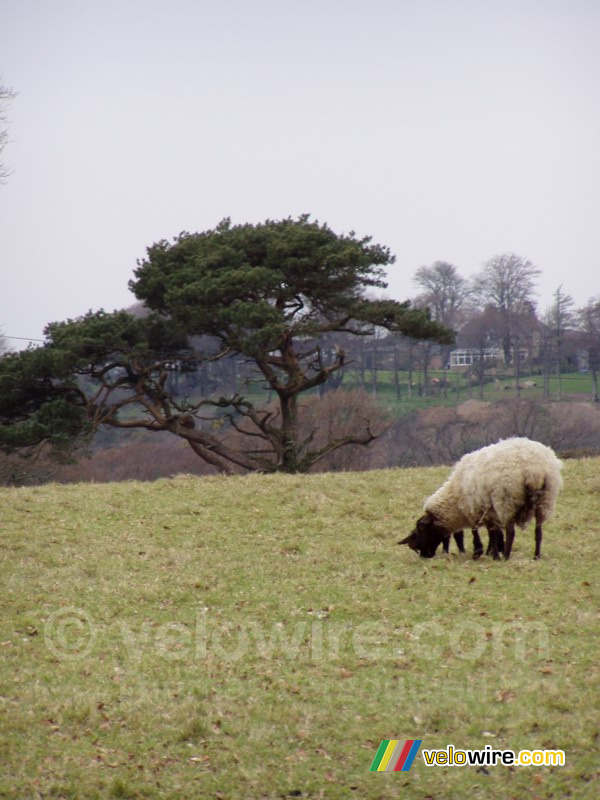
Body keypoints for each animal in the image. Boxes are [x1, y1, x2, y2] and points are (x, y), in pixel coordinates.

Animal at [398, 438, 564, 564]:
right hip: (545, 501)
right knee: (538, 531)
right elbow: (493, 533)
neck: (456, 497)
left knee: (511, 531)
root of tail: (534, 469)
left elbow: (481, 531)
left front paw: (485, 553)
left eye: (422, 529)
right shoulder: (487, 510)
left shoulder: (479, 508)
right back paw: (536, 556)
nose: (424, 556)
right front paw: (491, 551)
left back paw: (506, 556)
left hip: (507, 500)